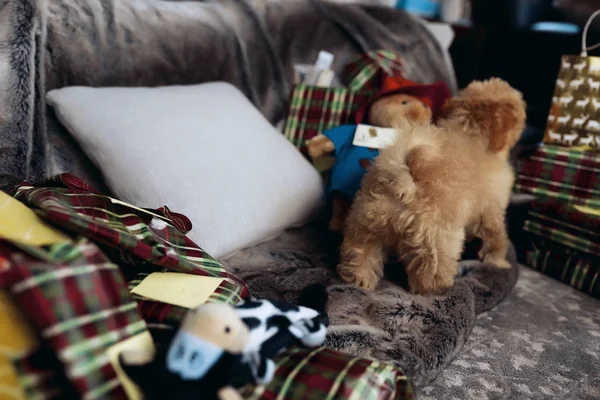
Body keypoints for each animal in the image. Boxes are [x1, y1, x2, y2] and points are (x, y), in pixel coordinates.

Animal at [338, 79, 524, 296]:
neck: (471, 132)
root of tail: (406, 175)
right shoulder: (490, 210)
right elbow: (496, 236)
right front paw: (498, 261)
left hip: (367, 223)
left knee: (360, 252)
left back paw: (359, 280)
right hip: (434, 236)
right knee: (431, 269)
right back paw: (438, 290)